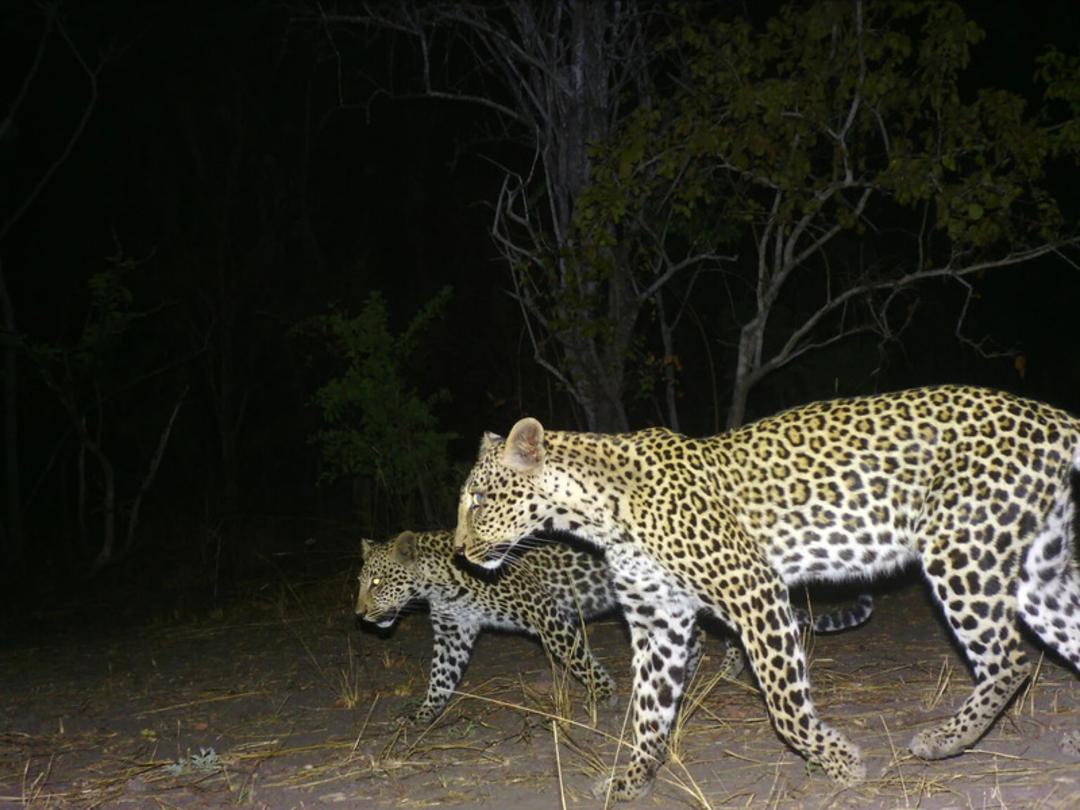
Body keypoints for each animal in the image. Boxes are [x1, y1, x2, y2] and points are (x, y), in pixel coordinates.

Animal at [356, 530, 866, 726]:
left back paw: (718, 673)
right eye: (361, 582)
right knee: (701, 637)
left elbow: (576, 656)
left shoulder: (545, 611)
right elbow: (441, 677)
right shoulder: (453, 632)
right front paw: (422, 716)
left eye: (378, 581)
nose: (359, 615)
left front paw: (603, 696)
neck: (440, 585)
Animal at [453, 385, 1080, 800]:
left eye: (479, 499)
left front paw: (843, 766)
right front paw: (631, 780)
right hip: (1038, 574)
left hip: (961, 550)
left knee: (1009, 660)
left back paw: (943, 741)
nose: (458, 551)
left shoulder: (754, 592)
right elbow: (648, 712)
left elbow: (783, 704)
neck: (594, 512)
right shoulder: (659, 621)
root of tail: (1051, 416)